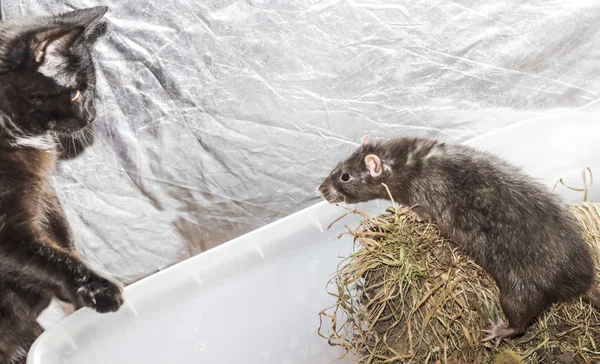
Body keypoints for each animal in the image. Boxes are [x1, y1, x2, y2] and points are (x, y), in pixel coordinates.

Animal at [0, 6, 123, 364]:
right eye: (75, 93)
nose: (92, 115)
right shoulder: (8, 230)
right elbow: (47, 257)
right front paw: (98, 290)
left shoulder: (43, 197)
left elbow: (61, 242)